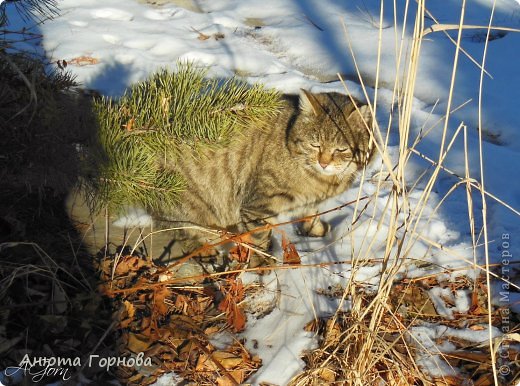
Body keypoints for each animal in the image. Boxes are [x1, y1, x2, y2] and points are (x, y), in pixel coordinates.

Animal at [158, 88, 374, 262]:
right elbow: (259, 239)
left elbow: (311, 213)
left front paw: (315, 229)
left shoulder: (310, 202)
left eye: (341, 149)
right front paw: (262, 263)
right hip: (188, 209)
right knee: (180, 231)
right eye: (315, 145)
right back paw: (202, 249)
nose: (324, 162)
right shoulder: (257, 207)